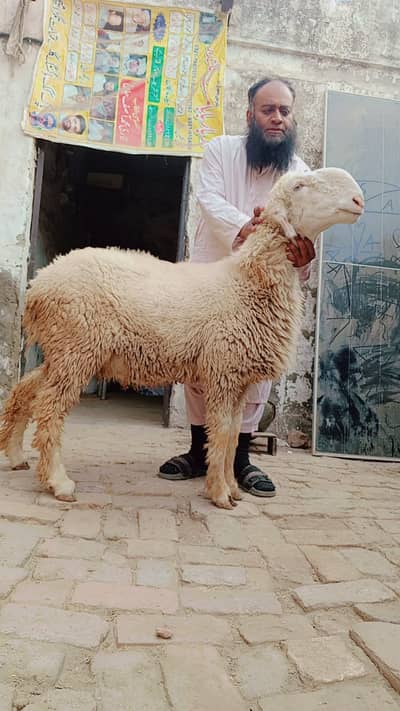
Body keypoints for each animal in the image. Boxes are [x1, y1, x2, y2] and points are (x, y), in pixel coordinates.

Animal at [0, 167, 364, 509]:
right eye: (300, 186)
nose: (358, 200)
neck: (246, 281)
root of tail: (39, 283)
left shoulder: (239, 376)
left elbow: (235, 433)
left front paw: (232, 487)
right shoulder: (223, 370)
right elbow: (220, 432)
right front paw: (219, 493)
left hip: (66, 350)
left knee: (25, 391)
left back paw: (16, 455)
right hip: (77, 345)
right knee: (49, 408)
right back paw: (57, 481)